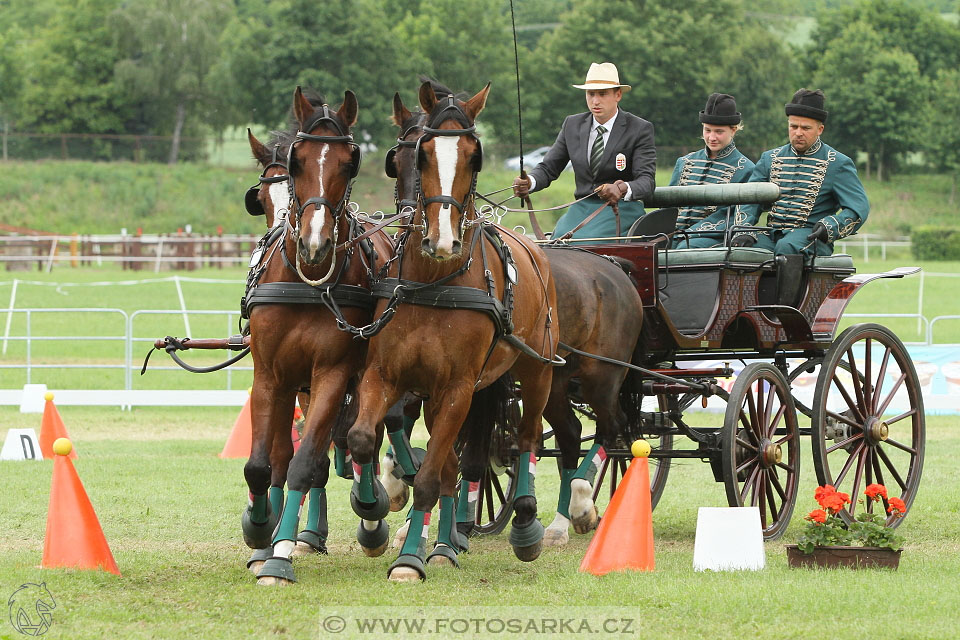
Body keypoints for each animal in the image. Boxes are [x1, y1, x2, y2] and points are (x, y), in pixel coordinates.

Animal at [246, 87, 400, 588]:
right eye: (261, 195)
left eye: (350, 164)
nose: (314, 246)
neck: (306, 282)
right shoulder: (271, 375)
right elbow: (265, 462)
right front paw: (261, 530)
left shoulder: (333, 373)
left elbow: (304, 462)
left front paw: (279, 557)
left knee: (365, 437)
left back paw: (372, 512)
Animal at [346, 80, 560, 580]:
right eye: (411, 156)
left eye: (474, 156)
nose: (441, 240)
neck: (434, 281)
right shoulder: (387, 375)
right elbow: (365, 439)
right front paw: (375, 511)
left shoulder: (459, 388)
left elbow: (431, 477)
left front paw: (409, 561)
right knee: (457, 463)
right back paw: (445, 543)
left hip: (537, 369)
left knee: (525, 439)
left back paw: (524, 523)